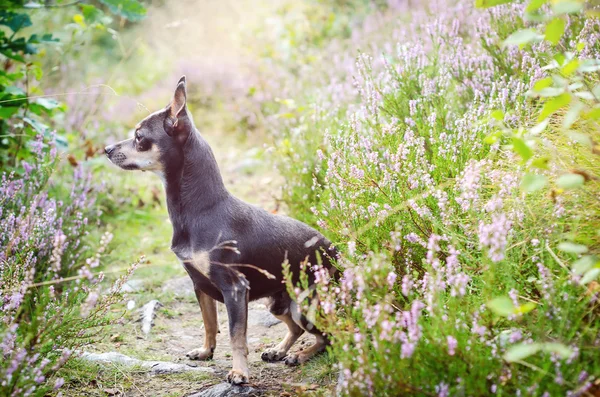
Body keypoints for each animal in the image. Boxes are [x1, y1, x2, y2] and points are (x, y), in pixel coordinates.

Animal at [104, 76, 338, 384]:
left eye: (139, 137)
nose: (106, 149)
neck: (201, 211)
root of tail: (338, 255)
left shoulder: (234, 290)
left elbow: (235, 334)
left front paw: (239, 372)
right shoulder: (200, 286)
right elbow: (209, 323)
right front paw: (206, 351)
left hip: (305, 305)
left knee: (330, 337)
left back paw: (299, 355)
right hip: (277, 303)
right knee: (300, 329)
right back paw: (278, 350)